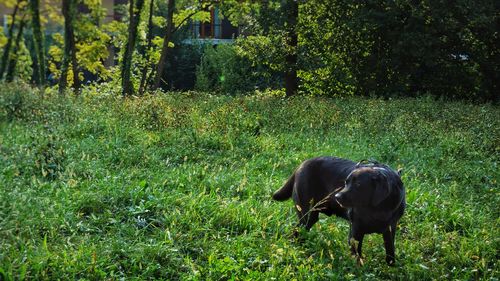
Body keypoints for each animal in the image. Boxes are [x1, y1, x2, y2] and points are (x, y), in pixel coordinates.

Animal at [274, 156, 406, 264]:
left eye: (358, 185)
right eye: (346, 183)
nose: (337, 197)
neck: (379, 208)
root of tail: (301, 165)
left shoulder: (390, 228)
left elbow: (390, 252)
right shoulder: (355, 230)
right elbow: (357, 256)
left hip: (311, 216)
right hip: (306, 213)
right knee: (297, 230)